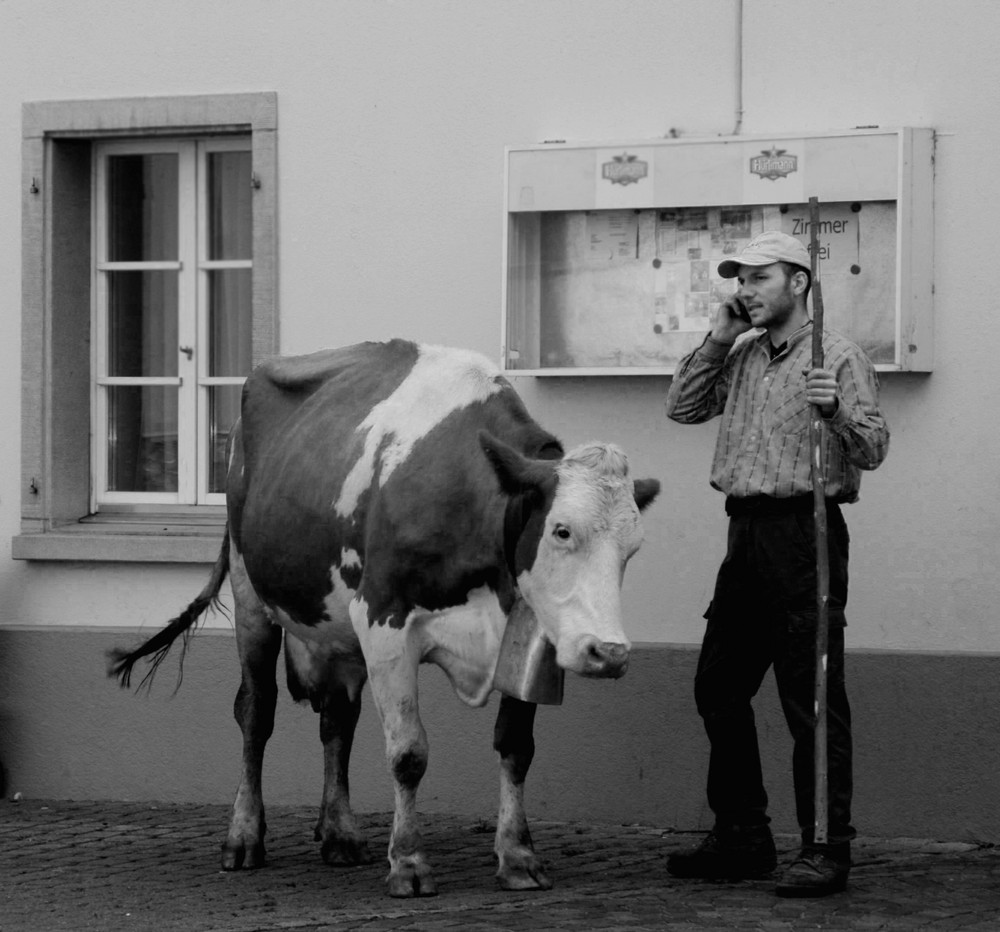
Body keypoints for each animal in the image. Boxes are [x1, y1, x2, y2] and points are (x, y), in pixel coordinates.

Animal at [109, 340, 660, 896]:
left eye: (633, 548)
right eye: (562, 530)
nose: (609, 652)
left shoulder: (529, 635)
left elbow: (515, 747)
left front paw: (518, 855)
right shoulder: (385, 622)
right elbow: (408, 753)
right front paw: (409, 862)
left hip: (336, 632)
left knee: (337, 719)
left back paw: (339, 832)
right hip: (252, 597)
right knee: (256, 712)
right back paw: (243, 836)